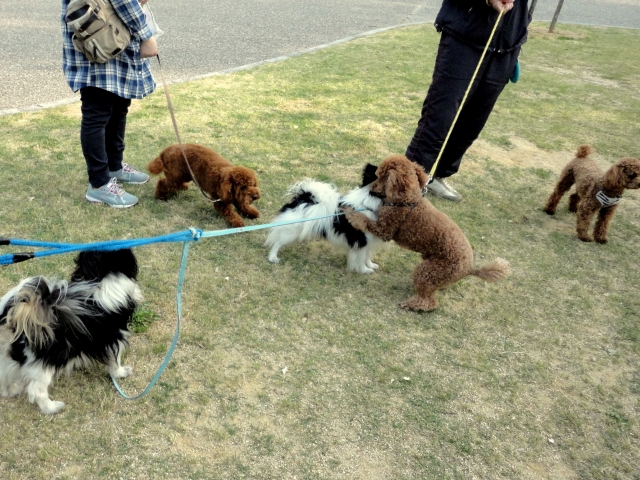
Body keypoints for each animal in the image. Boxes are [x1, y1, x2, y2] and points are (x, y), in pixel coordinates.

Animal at [0, 249, 141, 414]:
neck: (100, 278)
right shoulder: (114, 337)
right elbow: (115, 360)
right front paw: (121, 373)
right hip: (43, 365)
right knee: (37, 390)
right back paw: (52, 408)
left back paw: (12, 391)